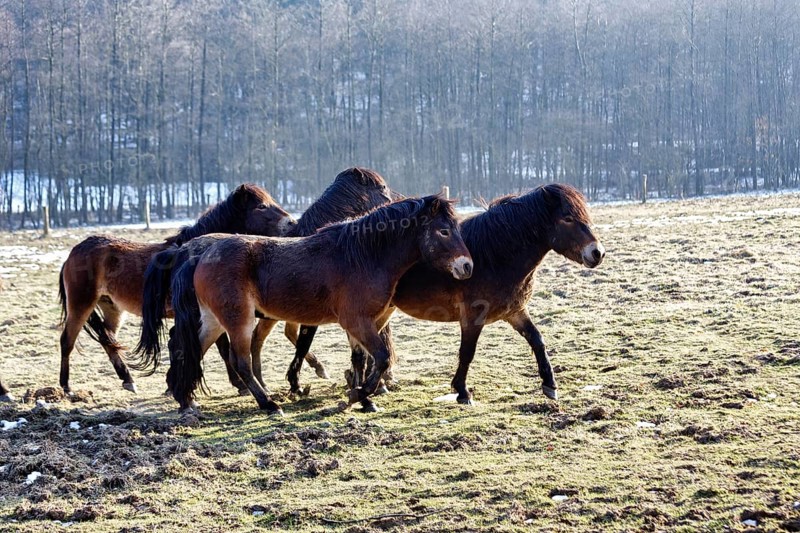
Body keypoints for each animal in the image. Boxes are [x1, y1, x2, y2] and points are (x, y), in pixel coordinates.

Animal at [57, 184, 294, 395]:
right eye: (261, 206)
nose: (291, 222)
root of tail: (73, 253)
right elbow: (220, 347)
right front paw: (239, 385)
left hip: (111, 308)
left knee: (108, 341)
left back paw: (128, 380)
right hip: (81, 304)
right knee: (67, 340)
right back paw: (67, 388)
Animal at [133, 167, 396, 392]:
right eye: (382, 187)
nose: (394, 200)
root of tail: (183, 251)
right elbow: (304, 344)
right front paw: (299, 382)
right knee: (190, 341)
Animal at [168, 195, 473, 414]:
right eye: (444, 231)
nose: (467, 266)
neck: (362, 256)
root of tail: (201, 255)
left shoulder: (361, 324)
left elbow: (361, 360)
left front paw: (364, 400)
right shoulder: (357, 321)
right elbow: (382, 357)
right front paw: (357, 395)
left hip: (213, 320)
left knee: (191, 351)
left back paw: (186, 401)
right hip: (238, 320)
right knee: (240, 362)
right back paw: (269, 404)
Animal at [293, 183, 605, 407]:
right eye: (567, 218)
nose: (597, 253)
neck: (496, 254)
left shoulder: (515, 311)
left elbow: (537, 341)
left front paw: (550, 385)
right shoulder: (473, 315)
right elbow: (467, 353)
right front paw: (462, 392)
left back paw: (370, 388)